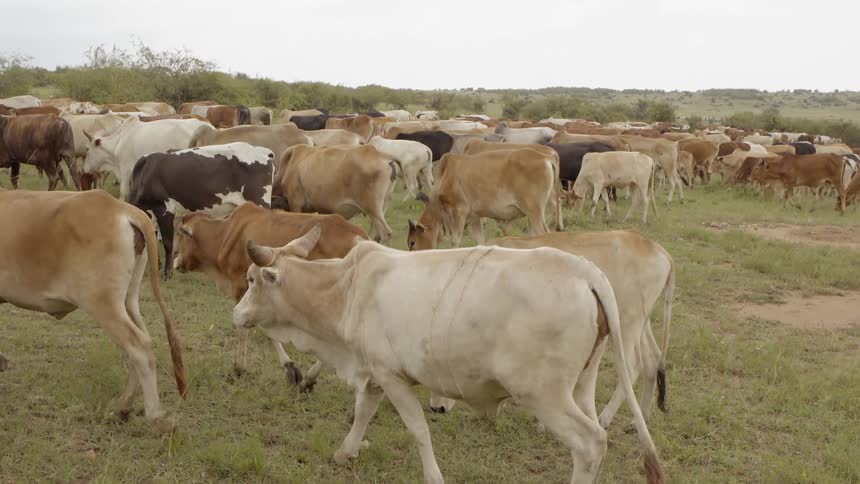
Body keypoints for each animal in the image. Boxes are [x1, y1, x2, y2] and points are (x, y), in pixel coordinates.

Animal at [0, 189, 186, 430]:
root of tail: (122, 208)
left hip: (104, 304)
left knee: (139, 346)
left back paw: (153, 416)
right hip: (128, 301)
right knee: (142, 341)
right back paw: (123, 407)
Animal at [174, 203, 368, 383]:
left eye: (181, 234)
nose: (176, 262)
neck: (225, 233)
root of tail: (359, 238)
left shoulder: (245, 290)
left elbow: (248, 329)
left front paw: (241, 368)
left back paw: (310, 378)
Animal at [407, 149, 556, 249]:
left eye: (412, 243)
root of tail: (545, 156)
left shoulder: (459, 211)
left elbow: (455, 240)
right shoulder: (475, 217)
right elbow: (480, 241)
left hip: (535, 212)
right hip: (532, 216)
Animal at [427, 230, 675, 432]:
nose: (436, 408)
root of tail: (657, 249)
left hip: (627, 324)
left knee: (633, 366)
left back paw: (605, 418)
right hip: (639, 322)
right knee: (652, 360)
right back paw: (639, 420)